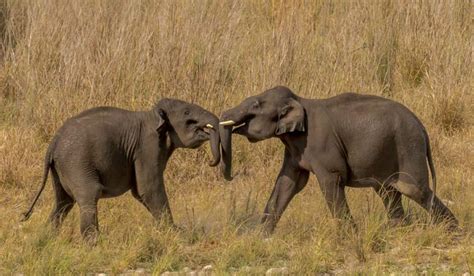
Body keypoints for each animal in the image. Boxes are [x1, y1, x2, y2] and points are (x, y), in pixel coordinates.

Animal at [21, 99, 220, 242]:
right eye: (187, 113)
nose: (211, 162)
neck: (152, 115)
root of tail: (53, 142)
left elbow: (140, 192)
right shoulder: (147, 147)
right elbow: (148, 189)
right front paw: (176, 233)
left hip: (61, 168)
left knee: (63, 202)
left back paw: (48, 239)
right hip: (76, 163)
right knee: (88, 194)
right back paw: (95, 242)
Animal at [219, 85, 460, 234]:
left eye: (255, 105)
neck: (299, 100)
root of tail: (422, 127)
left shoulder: (321, 146)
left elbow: (330, 181)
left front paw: (349, 236)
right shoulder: (295, 150)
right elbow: (288, 183)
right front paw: (260, 236)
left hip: (408, 147)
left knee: (416, 190)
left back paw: (453, 231)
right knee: (389, 192)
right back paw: (397, 231)